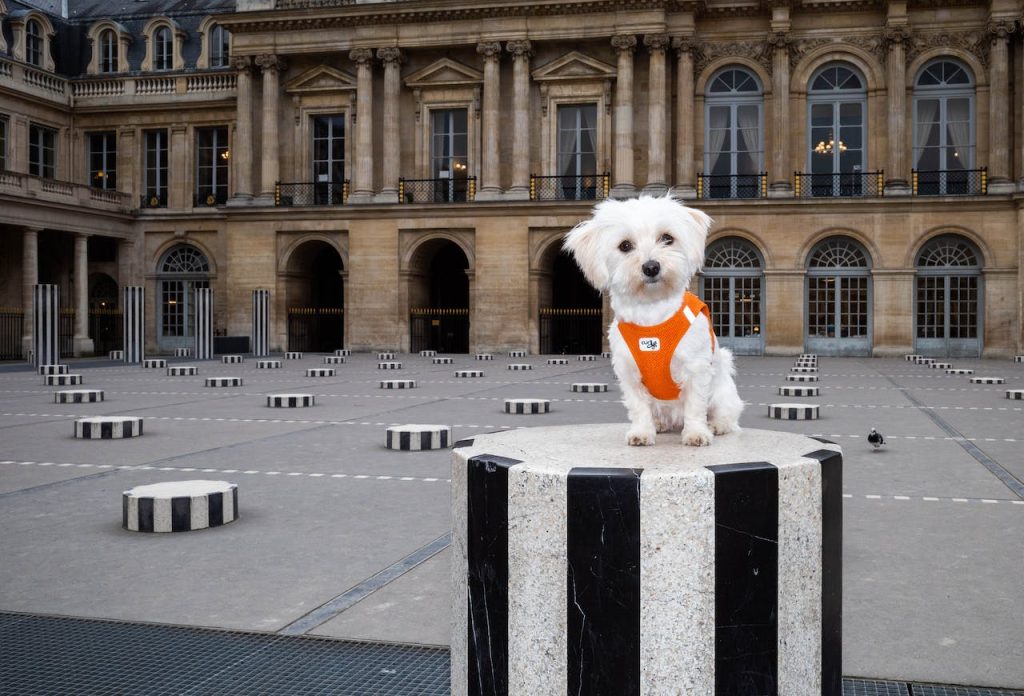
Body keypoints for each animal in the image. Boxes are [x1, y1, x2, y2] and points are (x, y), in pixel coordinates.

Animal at [561, 195, 745, 446]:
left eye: (667, 238)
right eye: (625, 246)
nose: (651, 267)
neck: (652, 316)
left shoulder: (696, 370)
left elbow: (695, 406)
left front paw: (696, 433)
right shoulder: (630, 374)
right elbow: (639, 408)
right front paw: (642, 432)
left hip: (722, 393)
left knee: (726, 414)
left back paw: (716, 425)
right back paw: (659, 424)